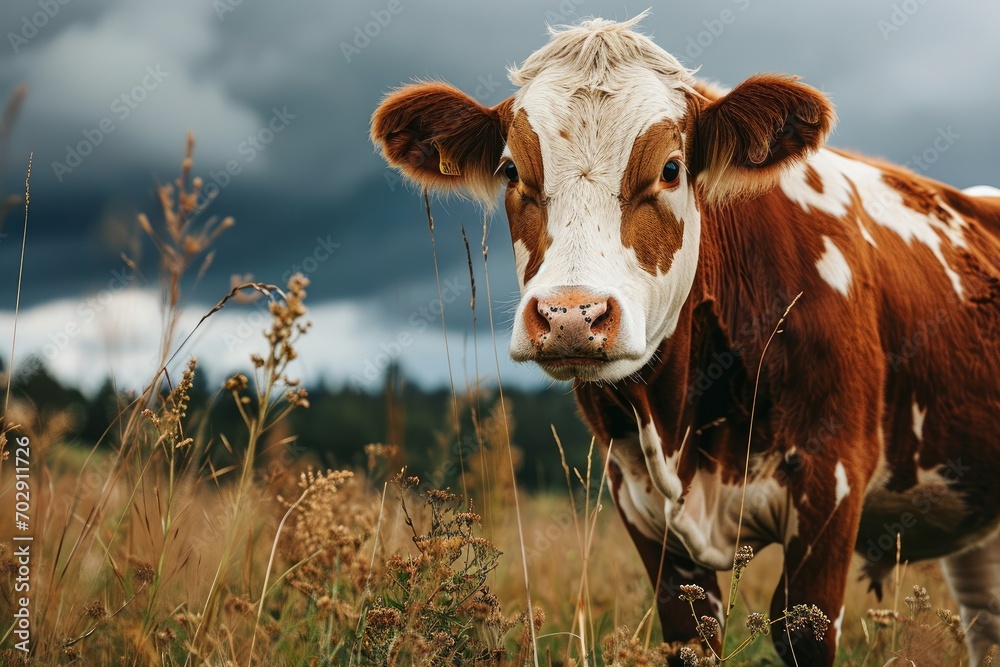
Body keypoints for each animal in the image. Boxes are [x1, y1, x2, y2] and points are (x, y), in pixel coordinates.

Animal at [370, 13, 1000, 664]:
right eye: (512, 170)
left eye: (671, 169)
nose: (571, 315)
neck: (683, 433)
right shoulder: (643, 508)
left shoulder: (832, 480)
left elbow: (802, 628)